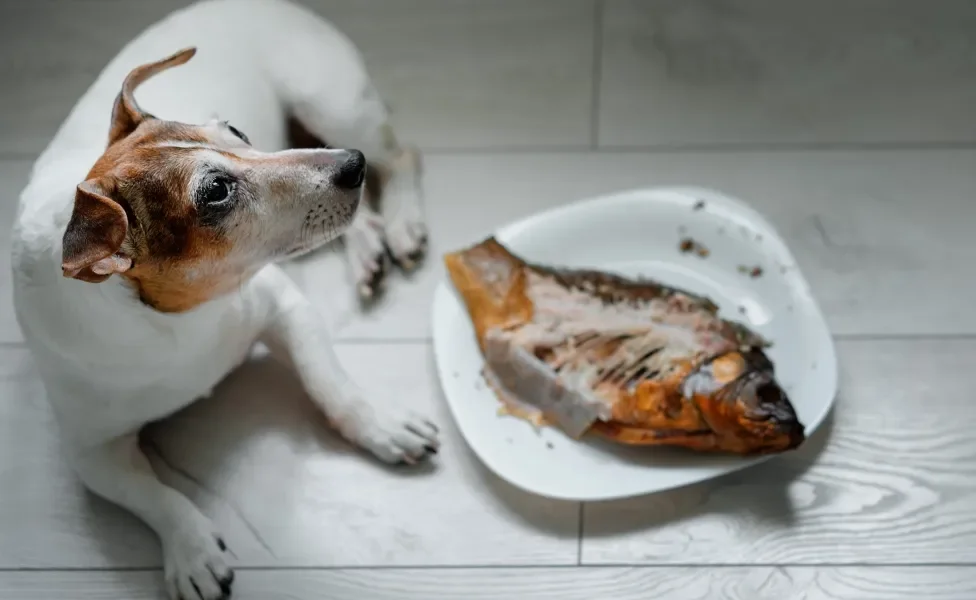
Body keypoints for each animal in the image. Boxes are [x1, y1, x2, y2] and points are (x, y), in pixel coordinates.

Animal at [6, 2, 442, 596]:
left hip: (332, 104)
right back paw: (368, 245)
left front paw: (381, 424)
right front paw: (190, 550)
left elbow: (328, 380)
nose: (351, 165)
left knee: (401, 155)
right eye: (215, 192)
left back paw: (399, 223)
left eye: (234, 129)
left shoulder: (281, 305)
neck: (179, 316)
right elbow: (153, 494)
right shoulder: (90, 450)